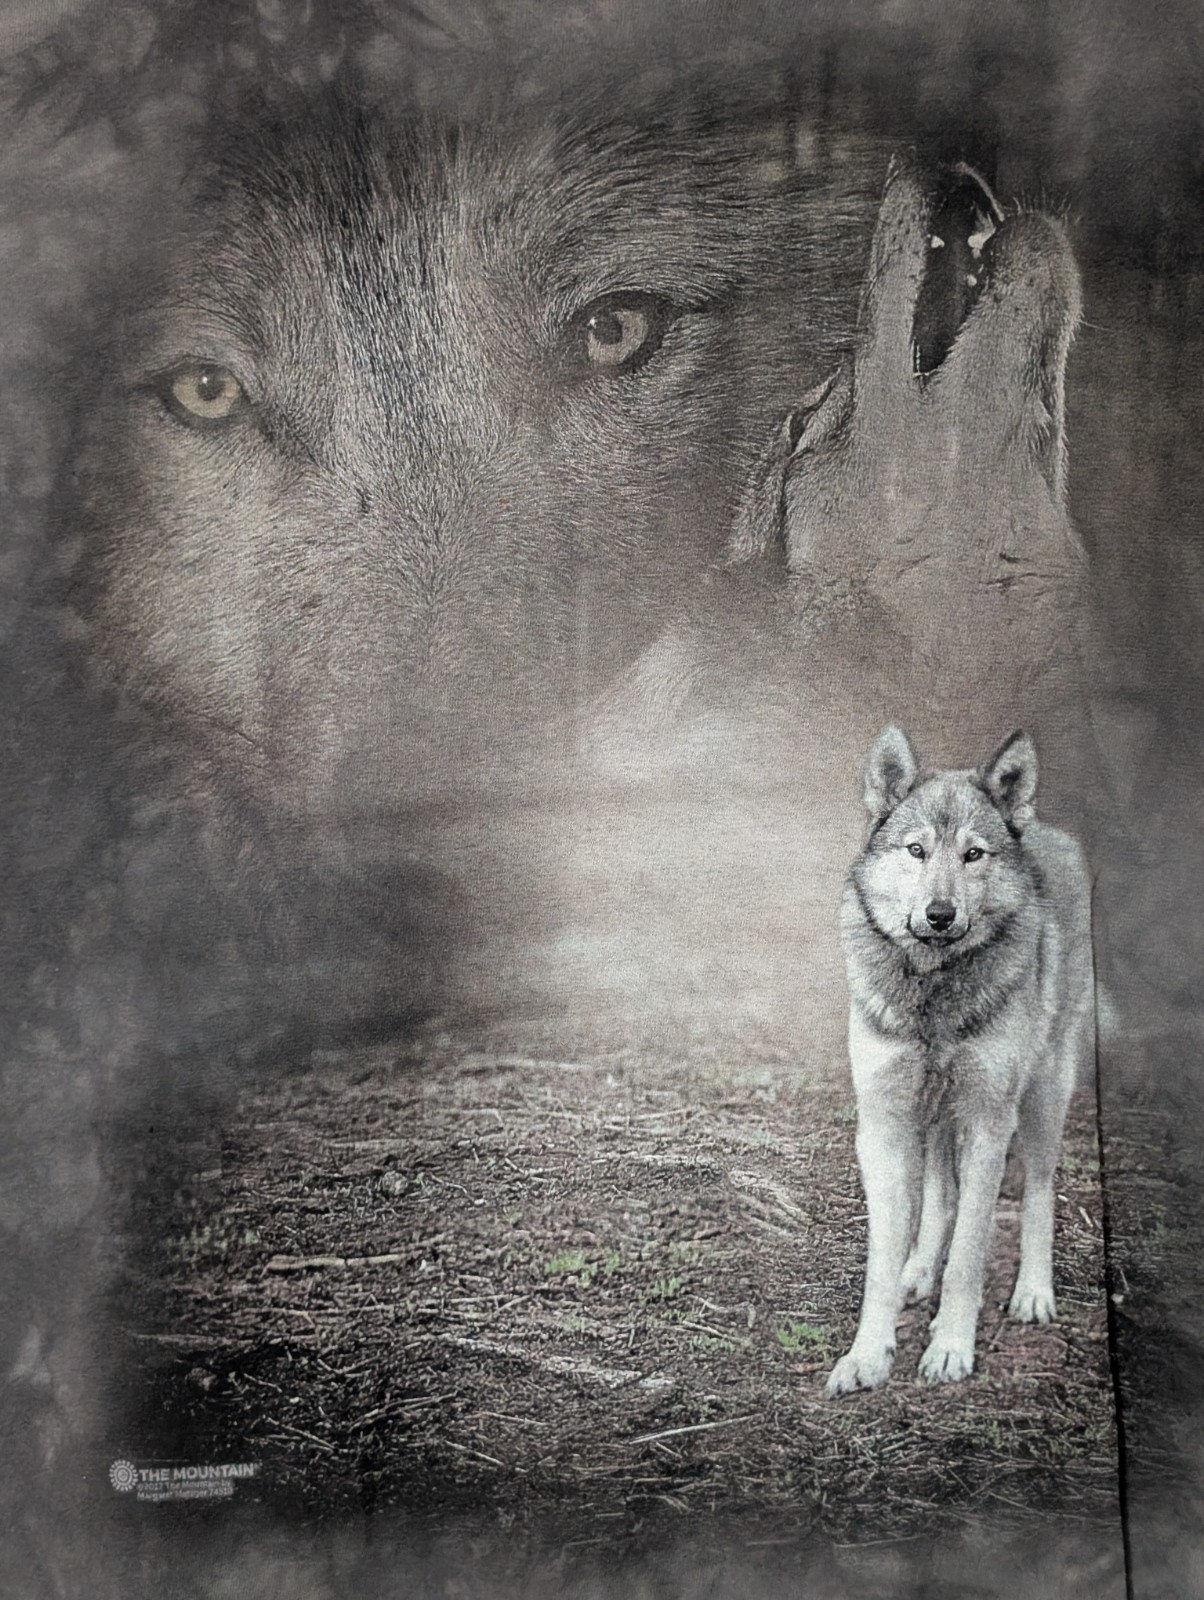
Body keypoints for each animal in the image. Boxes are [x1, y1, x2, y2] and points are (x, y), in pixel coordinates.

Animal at [826, 725, 1095, 1394]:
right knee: (939, 1198)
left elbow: (971, 1253)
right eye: (917, 851)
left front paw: (950, 1347)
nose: (940, 914)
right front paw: (867, 1355)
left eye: (974, 855)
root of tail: (1048, 829)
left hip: (1042, 1098)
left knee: (1040, 1190)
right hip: (934, 1115)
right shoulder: (885, 1125)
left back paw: (1032, 1293)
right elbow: (884, 1256)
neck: (934, 989)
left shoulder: (987, 1124)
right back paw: (918, 1272)